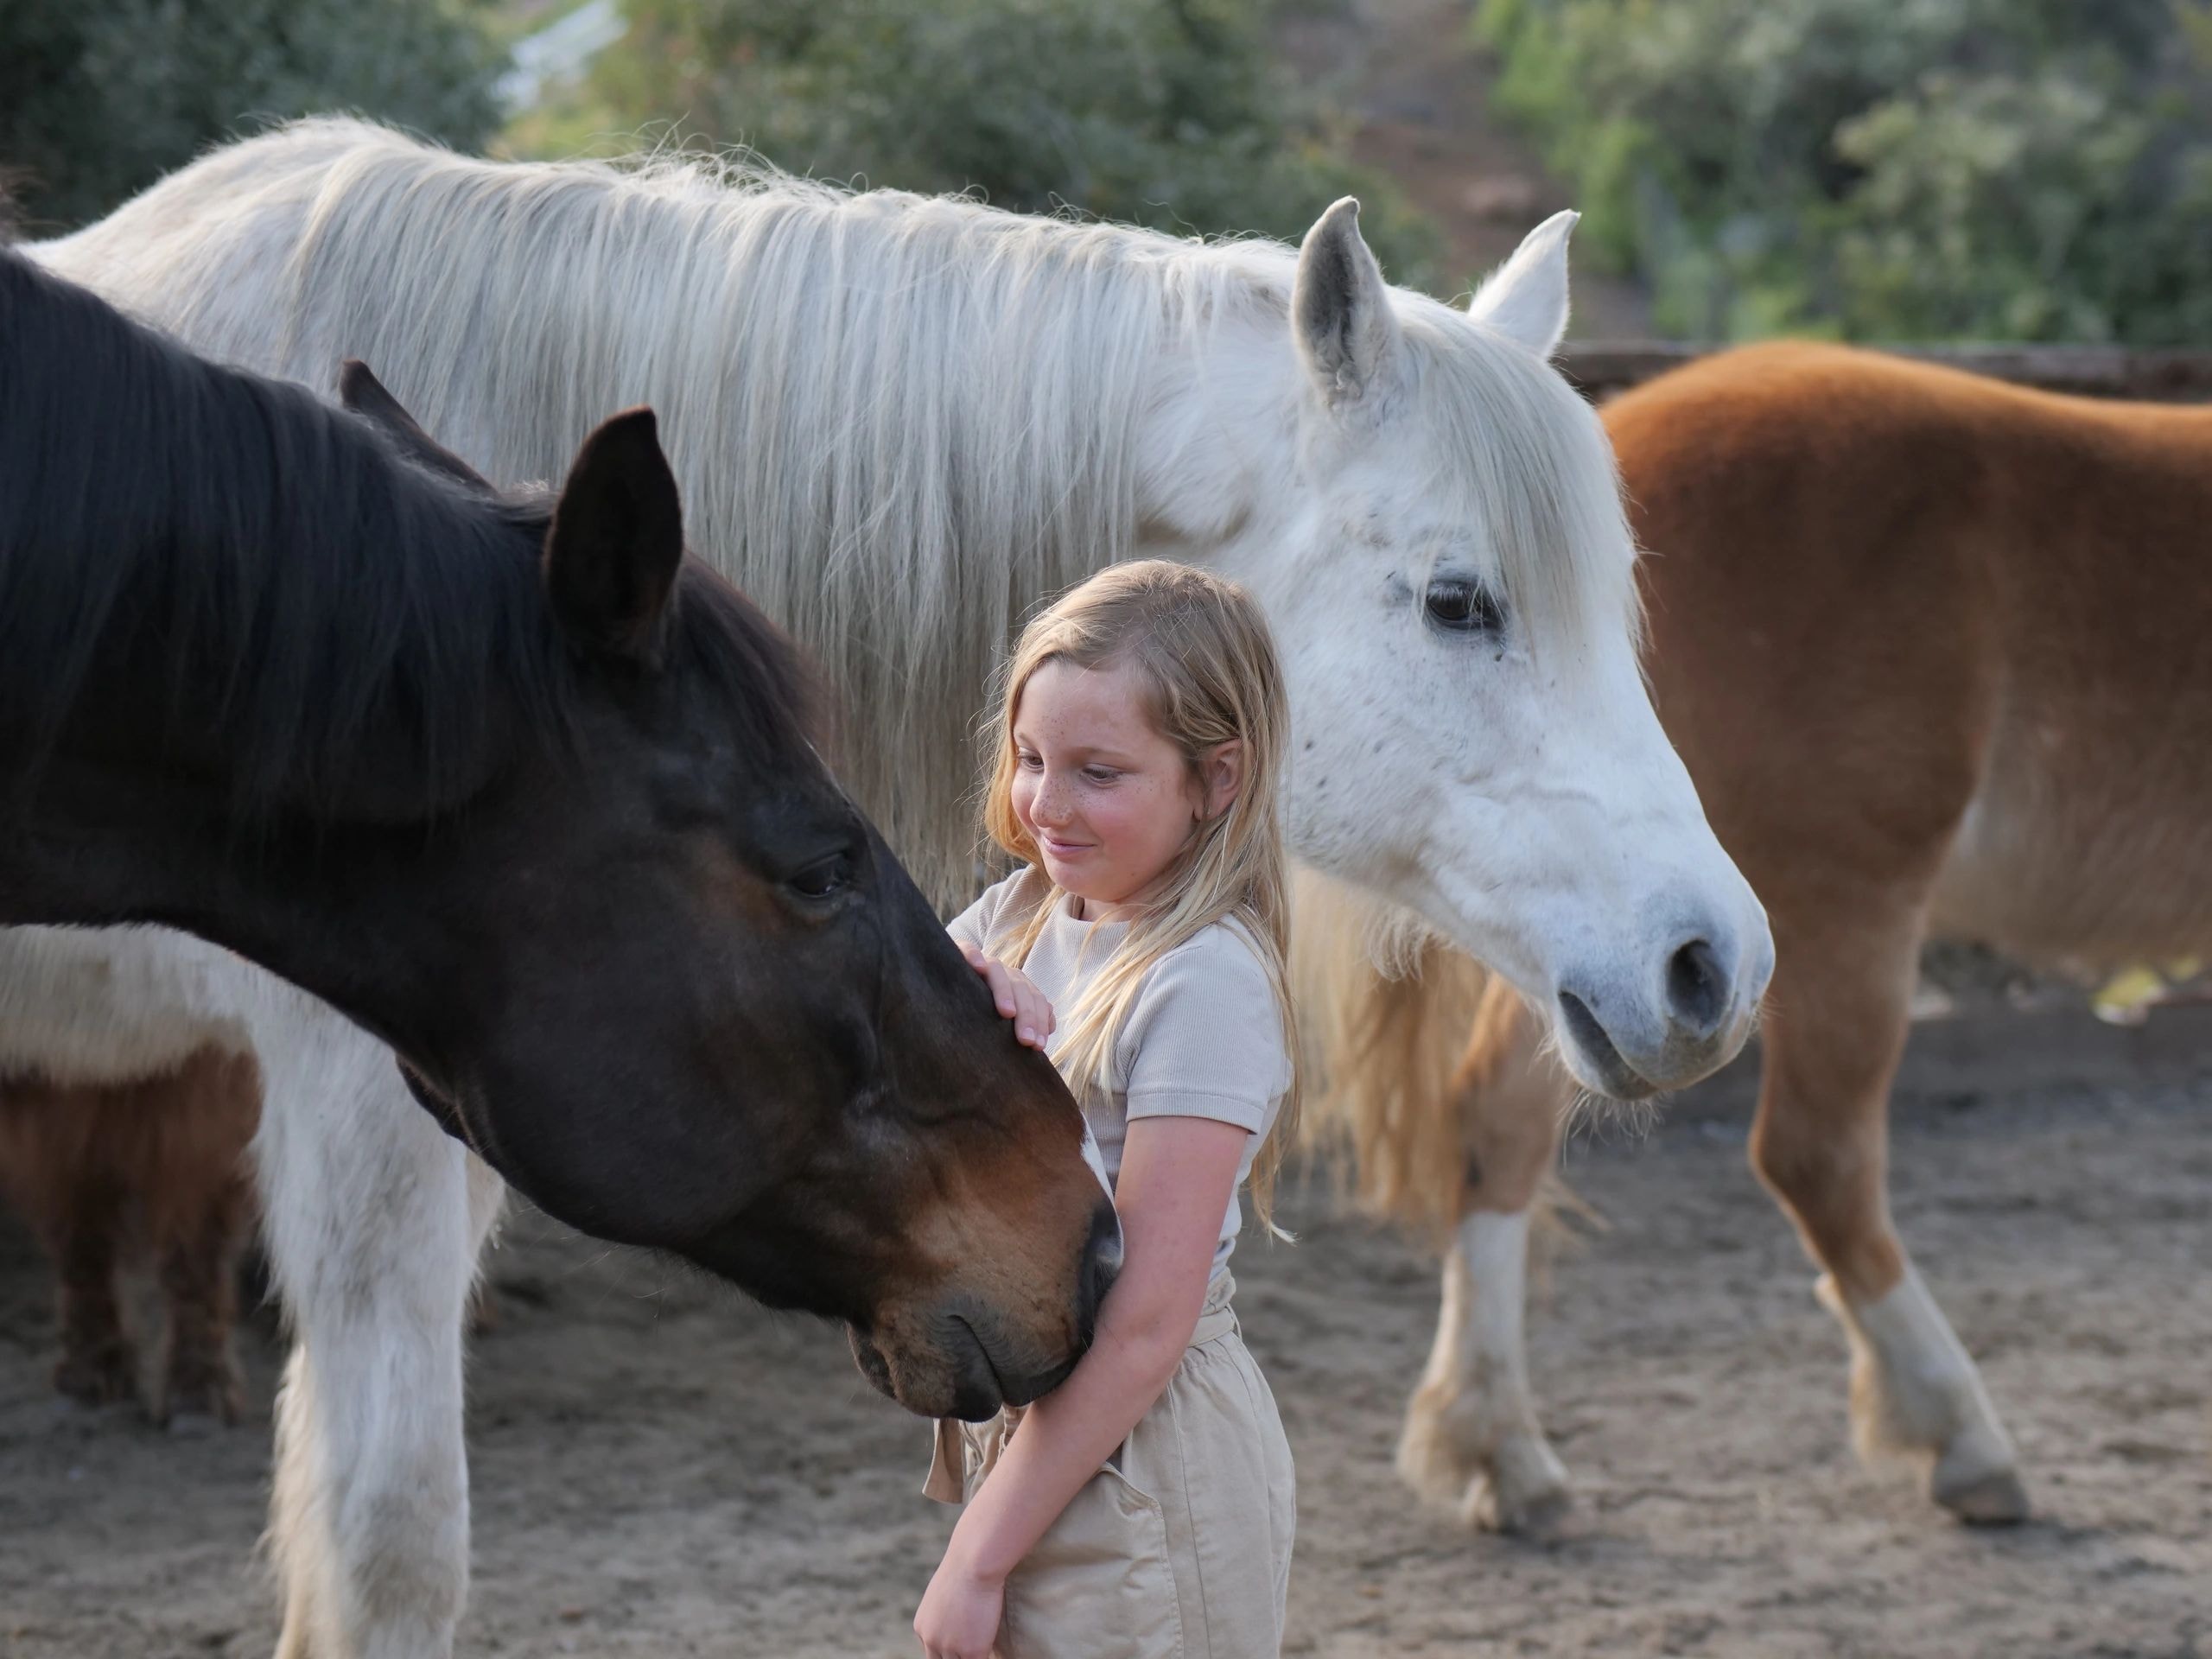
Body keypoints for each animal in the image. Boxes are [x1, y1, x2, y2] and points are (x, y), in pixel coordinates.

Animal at [1310, 337, 2212, 1534]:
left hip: (1609, 956)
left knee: (1496, 1122)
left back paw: (1499, 1443)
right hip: (1838, 913)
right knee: (1816, 1159)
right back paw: (1957, 1430)